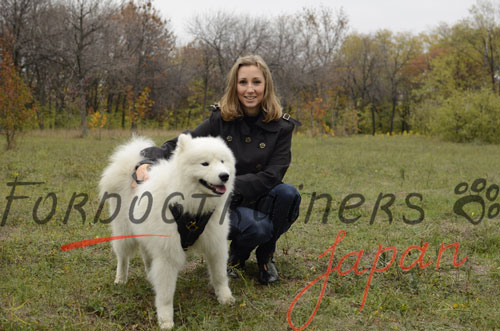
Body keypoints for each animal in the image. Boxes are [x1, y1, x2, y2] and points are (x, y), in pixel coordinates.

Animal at [100, 134, 237, 330]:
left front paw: (225, 297)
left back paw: (150, 275)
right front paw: (165, 319)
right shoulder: (168, 254)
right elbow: (165, 294)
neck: (191, 208)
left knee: (146, 255)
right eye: (205, 164)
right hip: (125, 232)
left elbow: (219, 275)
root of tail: (129, 166)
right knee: (123, 257)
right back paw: (120, 279)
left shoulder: (215, 243)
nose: (225, 176)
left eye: (223, 161)